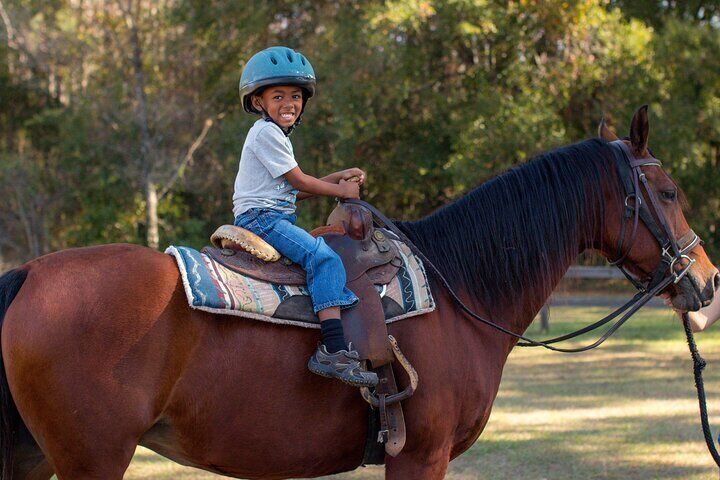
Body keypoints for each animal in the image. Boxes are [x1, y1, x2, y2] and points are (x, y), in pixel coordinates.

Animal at [0, 106, 717, 479]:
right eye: (670, 191)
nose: (707, 280)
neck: (461, 291)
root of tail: (29, 273)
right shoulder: (420, 457)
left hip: (36, 457)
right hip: (92, 458)